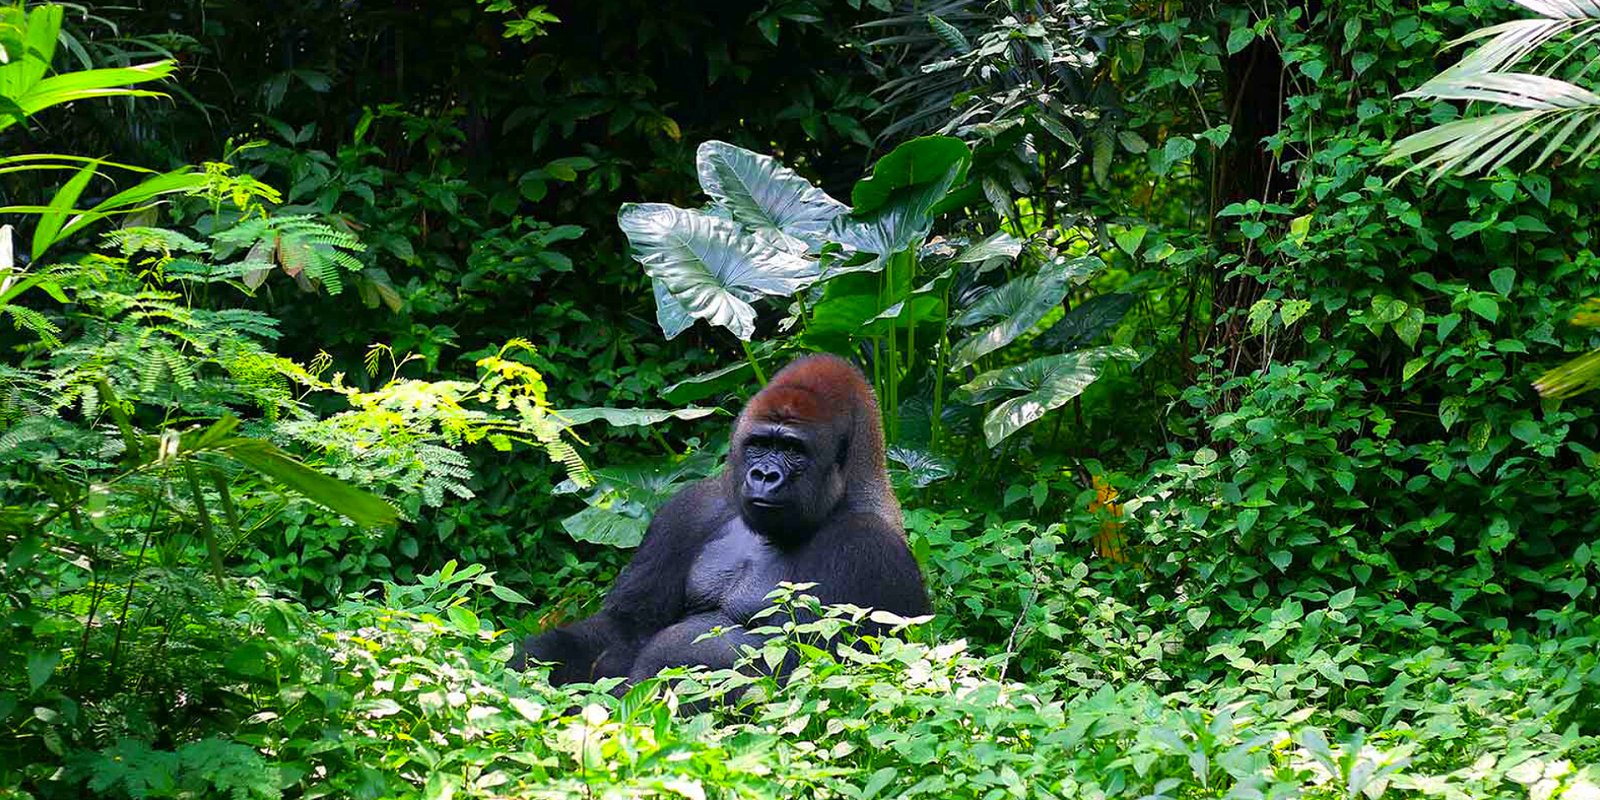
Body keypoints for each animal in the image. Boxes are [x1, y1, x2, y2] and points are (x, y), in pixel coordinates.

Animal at [511, 353, 930, 686]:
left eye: (793, 449)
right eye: (759, 444)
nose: (764, 476)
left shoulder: (869, 547)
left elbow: (813, 667)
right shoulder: (689, 509)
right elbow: (623, 627)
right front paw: (527, 660)